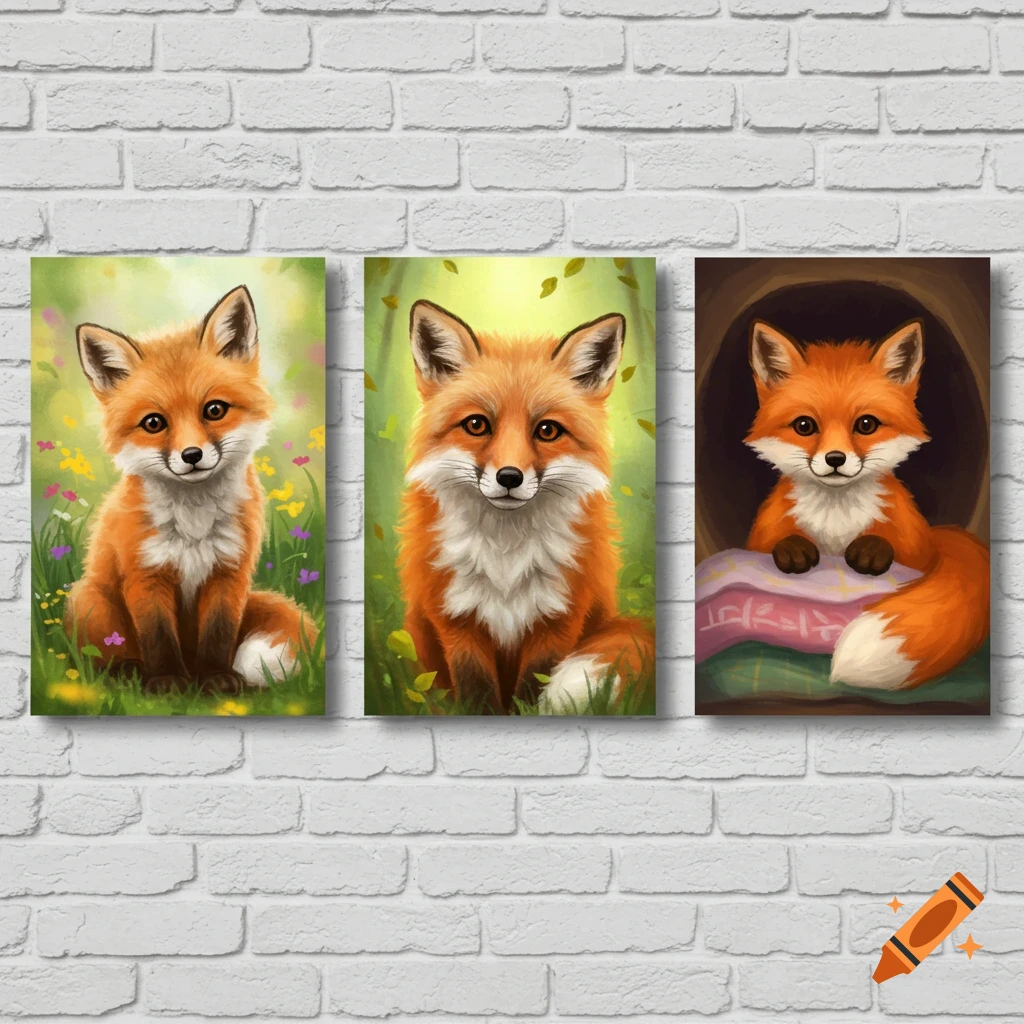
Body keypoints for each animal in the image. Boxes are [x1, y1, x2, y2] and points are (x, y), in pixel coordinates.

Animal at [65, 285, 316, 693]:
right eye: (153, 423)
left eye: (214, 410)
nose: (192, 455)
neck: (194, 525)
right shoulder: (145, 575)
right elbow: (157, 637)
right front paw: (168, 681)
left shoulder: (229, 574)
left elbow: (219, 635)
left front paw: (215, 678)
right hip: (90, 600)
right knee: (102, 658)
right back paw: (129, 671)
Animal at [397, 300, 654, 714]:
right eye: (476, 425)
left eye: (547, 430)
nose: (509, 477)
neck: (506, 555)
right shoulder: (457, 619)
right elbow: (477, 693)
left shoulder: (558, 618)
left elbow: (532, 688)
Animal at [745, 317, 989, 690]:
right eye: (804, 426)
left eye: (866, 424)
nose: (835, 458)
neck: (835, 522)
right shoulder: (760, 539)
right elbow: (776, 541)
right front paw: (793, 548)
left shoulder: (919, 555)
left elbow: (890, 546)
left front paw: (872, 550)